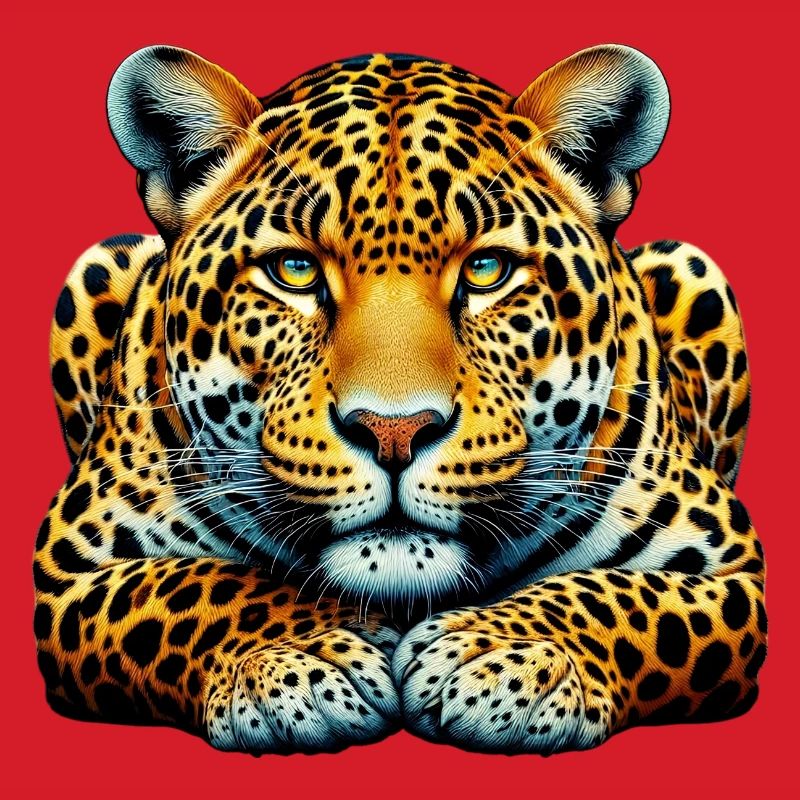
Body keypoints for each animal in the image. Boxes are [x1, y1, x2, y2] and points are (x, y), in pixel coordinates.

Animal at [35, 43, 766, 755]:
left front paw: (504, 656)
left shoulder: (733, 572)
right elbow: (198, 585)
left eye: (487, 269)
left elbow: (616, 597)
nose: (394, 432)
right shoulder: (68, 572)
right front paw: (306, 658)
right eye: (294, 270)